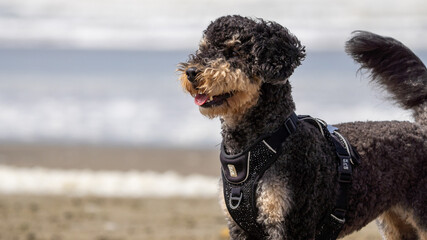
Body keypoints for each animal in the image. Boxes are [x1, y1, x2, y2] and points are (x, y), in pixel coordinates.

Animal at [179, 15, 426, 239]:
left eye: (233, 51)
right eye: (203, 49)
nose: (191, 72)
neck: (264, 143)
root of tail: (421, 130)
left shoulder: (292, 224)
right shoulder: (239, 228)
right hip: (396, 225)